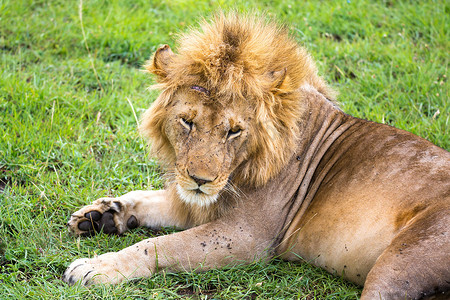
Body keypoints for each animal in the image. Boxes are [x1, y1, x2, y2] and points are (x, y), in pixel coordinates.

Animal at [64, 12, 450, 298]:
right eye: (187, 121)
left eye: (234, 130)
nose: (201, 180)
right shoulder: (202, 203)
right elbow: (146, 199)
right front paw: (100, 215)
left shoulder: (248, 236)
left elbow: (160, 246)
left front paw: (96, 267)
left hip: (398, 264)